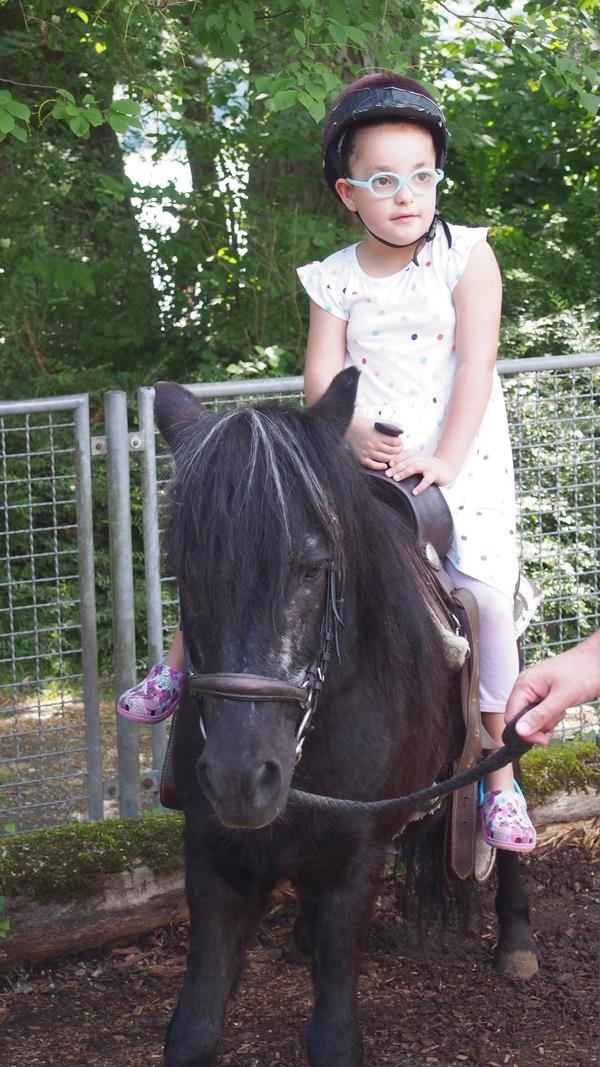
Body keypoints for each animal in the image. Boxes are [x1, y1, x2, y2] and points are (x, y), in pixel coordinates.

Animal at [154, 373, 538, 1067]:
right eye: (185, 571)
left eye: (314, 568)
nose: (240, 779)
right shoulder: (212, 855)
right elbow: (192, 1032)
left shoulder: (356, 864)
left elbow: (333, 1037)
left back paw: (516, 936)